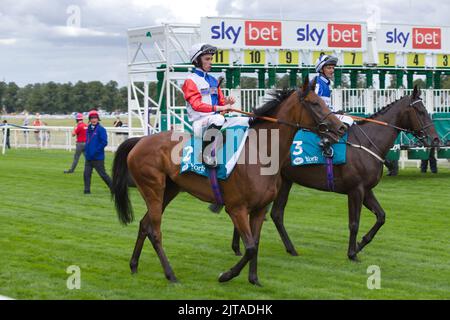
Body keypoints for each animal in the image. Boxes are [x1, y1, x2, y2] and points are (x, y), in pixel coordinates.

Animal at [110, 79, 346, 286]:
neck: (259, 153)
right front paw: (226, 275)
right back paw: (171, 275)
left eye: (323, 101)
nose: (341, 128)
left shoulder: (259, 209)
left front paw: (254, 280)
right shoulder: (236, 208)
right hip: (153, 189)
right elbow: (249, 247)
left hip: (169, 190)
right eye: (315, 103)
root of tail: (139, 141)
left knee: (144, 224)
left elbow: (255, 244)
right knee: (155, 231)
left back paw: (134, 265)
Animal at [232, 86, 440, 262]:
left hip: (285, 181)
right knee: (267, 211)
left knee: (275, 214)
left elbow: (381, 216)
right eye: (421, 111)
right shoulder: (355, 190)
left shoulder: (366, 190)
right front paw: (352, 253)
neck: (367, 143)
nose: (436, 139)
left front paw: (360, 244)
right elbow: (354, 223)